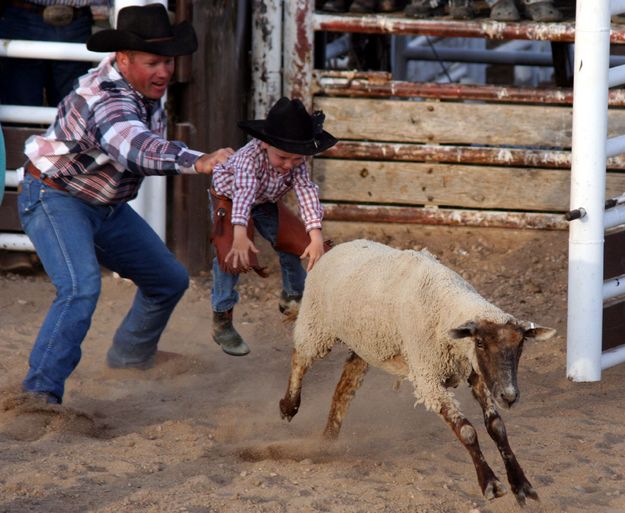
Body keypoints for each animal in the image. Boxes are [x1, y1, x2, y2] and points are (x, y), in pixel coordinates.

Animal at [280, 239, 556, 504]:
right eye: (480, 343)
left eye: (521, 344)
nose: (509, 396)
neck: (446, 306)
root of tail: (335, 247)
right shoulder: (428, 379)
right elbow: (467, 431)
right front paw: (490, 484)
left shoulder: (476, 373)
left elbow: (497, 427)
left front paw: (521, 486)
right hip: (316, 325)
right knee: (299, 358)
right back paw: (289, 406)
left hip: (365, 345)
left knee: (345, 387)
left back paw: (327, 440)